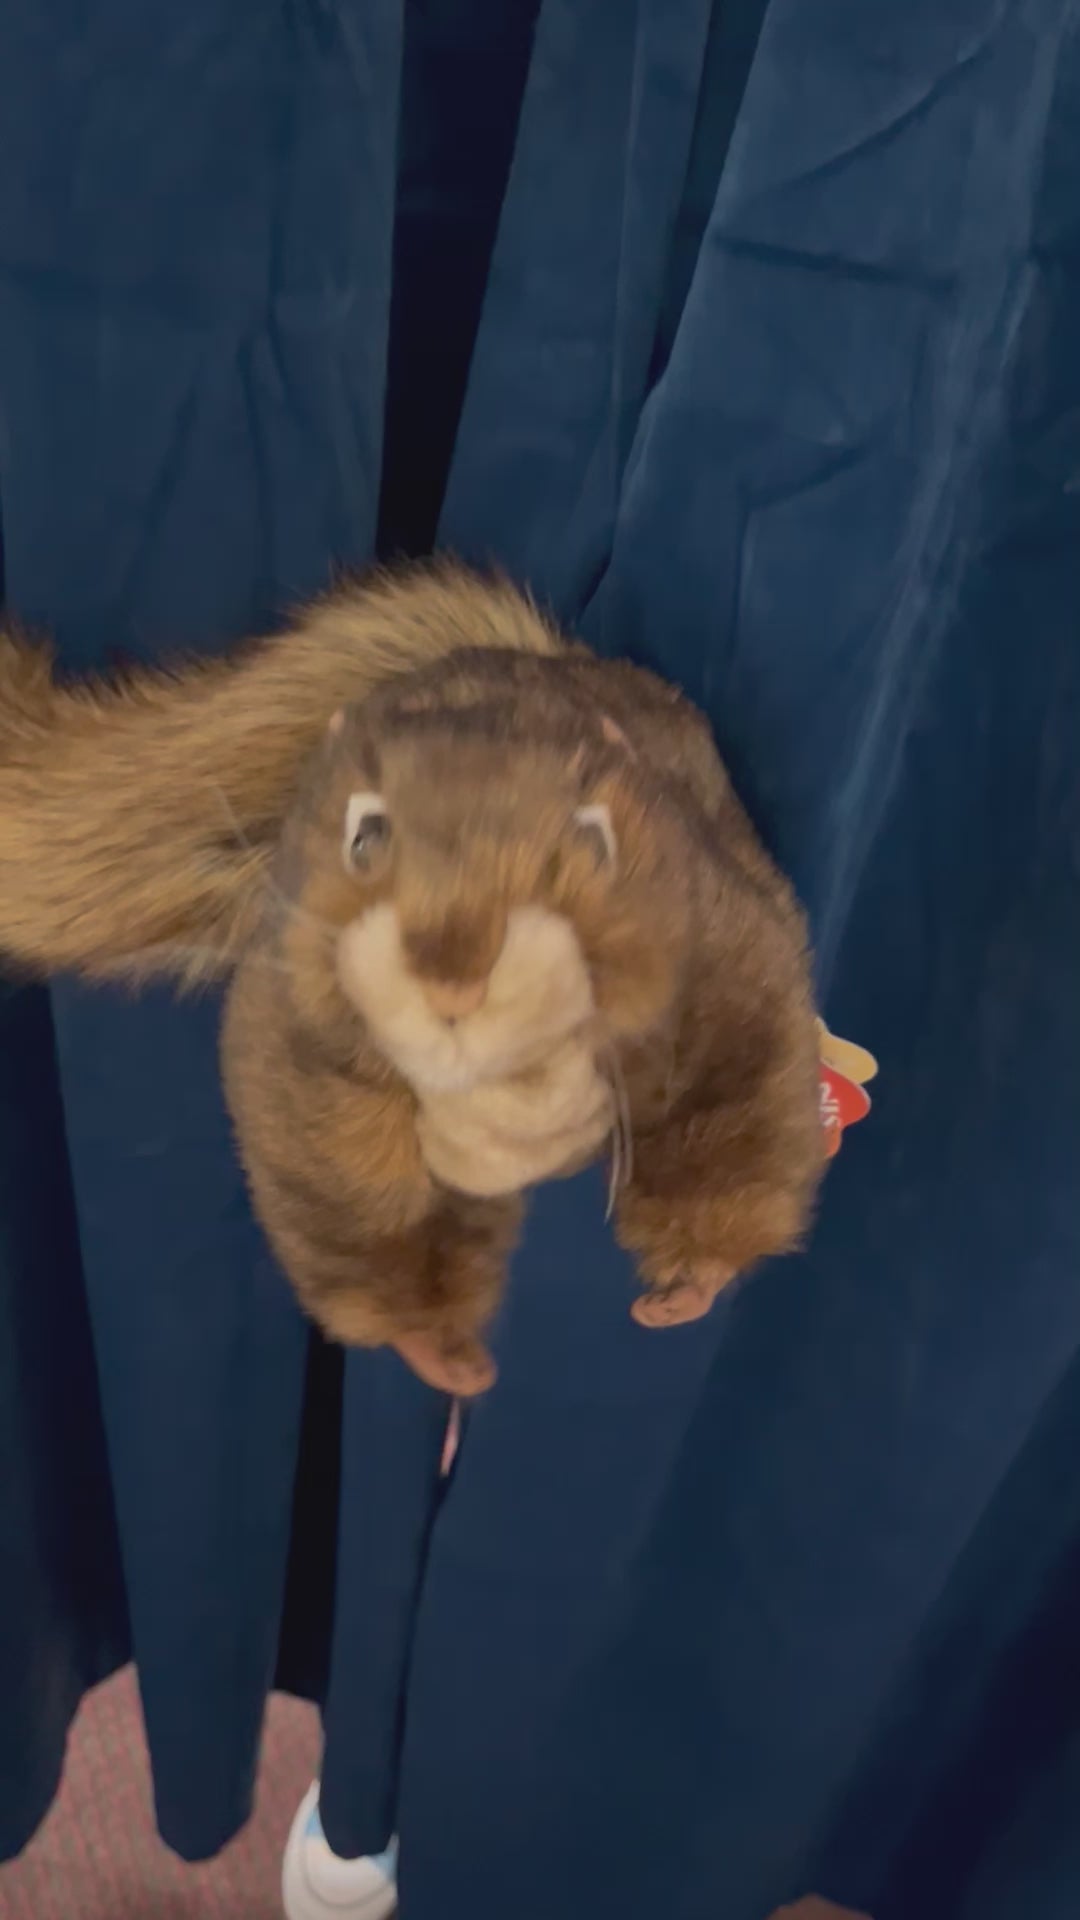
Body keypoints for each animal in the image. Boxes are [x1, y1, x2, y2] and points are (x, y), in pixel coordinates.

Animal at [0, 563, 824, 1395]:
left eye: (594, 841)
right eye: (364, 834)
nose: (454, 977)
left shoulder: (726, 977)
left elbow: (738, 1123)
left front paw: (696, 1282)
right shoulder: (304, 1056)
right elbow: (357, 1208)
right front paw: (438, 1353)